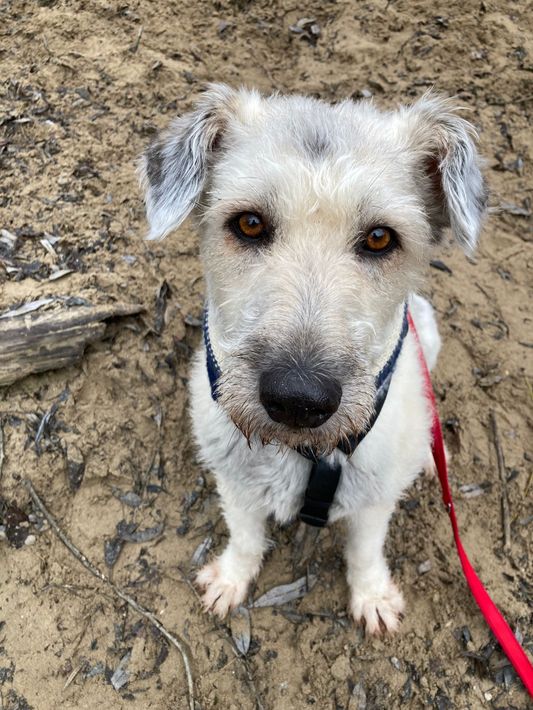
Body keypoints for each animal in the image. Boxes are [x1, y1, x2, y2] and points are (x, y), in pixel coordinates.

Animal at [140, 85, 486, 634]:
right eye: (249, 223)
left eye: (380, 237)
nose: (298, 399)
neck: (301, 453)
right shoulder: (235, 482)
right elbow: (245, 536)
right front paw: (232, 579)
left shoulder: (374, 500)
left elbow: (365, 552)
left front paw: (372, 596)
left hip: (428, 333)